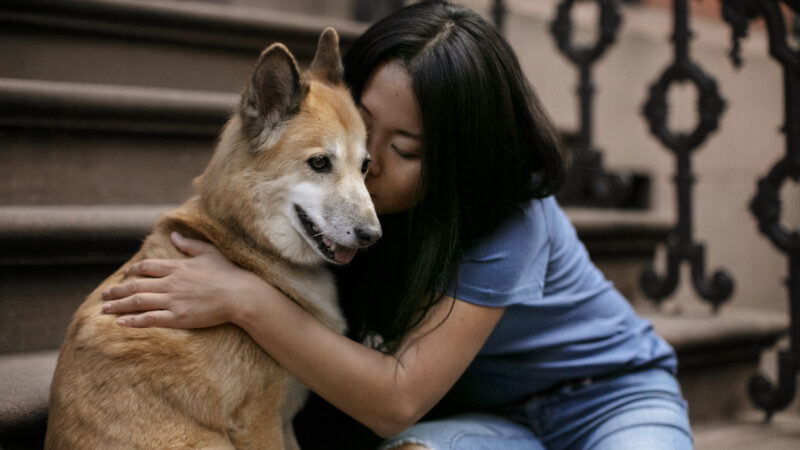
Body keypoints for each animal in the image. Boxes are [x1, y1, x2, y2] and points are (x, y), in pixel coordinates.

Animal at [45, 29, 380, 450]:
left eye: (365, 166)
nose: (373, 236)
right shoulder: (258, 421)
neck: (246, 243)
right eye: (320, 163)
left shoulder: (284, 419)